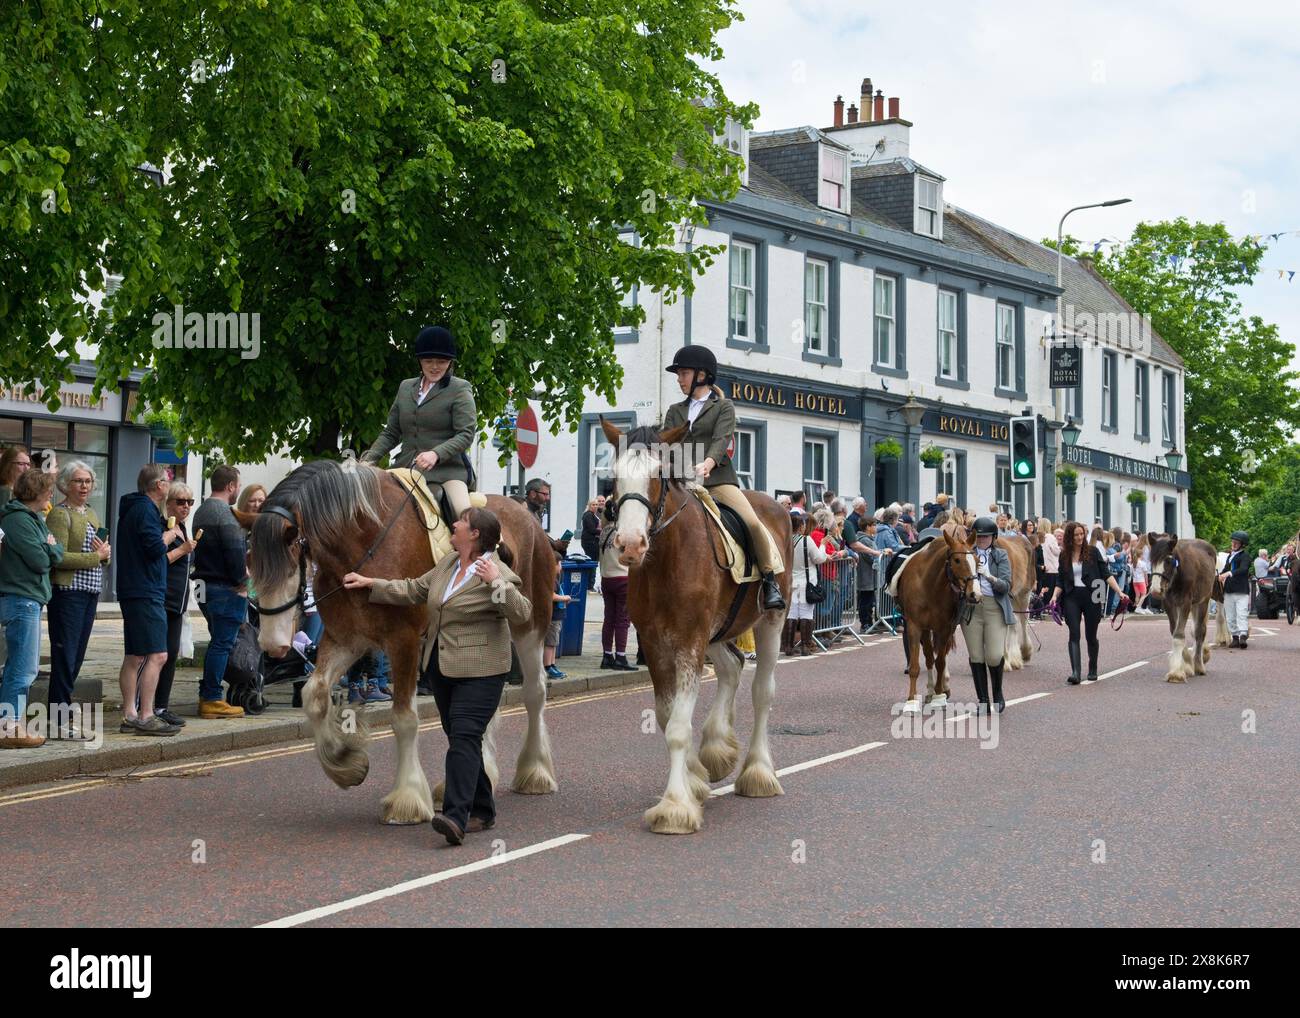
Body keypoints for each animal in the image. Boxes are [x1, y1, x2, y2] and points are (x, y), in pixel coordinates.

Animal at [245, 462, 556, 826]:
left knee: (535, 692)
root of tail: (528, 516)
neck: (364, 543)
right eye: (250, 564)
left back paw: (535, 772)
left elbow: (404, 719)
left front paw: (406, 799)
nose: (272, 643)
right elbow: (314, 695)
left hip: (529, 625)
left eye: (289, 565)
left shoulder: (403, 642)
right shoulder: (345, 640)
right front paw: (344, 760)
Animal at [598, 421, 790, 837]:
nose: (630, 545)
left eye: (658, 474)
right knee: (732, 668)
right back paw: (717, 749)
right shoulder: (655, 643)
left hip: (769, 623)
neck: (665, 559)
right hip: (716, 631)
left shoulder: (689, 640)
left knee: (762, 692)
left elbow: (678, 728)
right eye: (612, 477)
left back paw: (758, 772)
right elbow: (668, 718)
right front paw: (693, 780)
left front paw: (674, 807)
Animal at [1144, 533, 1222, 686]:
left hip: (1203, 601)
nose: (1155, 591)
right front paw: (1185, 665)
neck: (1177, 576)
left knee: (1199, 632)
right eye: (1151, 559)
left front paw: (1176, 673)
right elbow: (1175, 632)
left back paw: (1199, 665)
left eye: (1168, 560)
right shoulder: (1169, 604)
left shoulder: (1185, 602)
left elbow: (1179, 635)